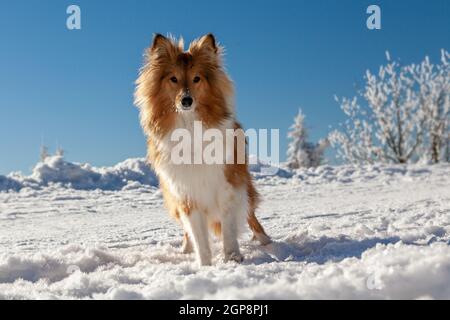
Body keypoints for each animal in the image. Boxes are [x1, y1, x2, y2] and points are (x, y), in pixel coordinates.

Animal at [134, 33, 270, 266]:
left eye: (197, 78)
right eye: (173, 79)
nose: (186, 100)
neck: (189, 127)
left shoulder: (227, 186)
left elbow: (229, 230)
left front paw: (232, 257)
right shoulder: (186, 194)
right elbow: (198, 236)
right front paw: (205, 265)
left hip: (244, 186)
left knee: (251, 216)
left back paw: (267, 242)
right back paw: (185, 248)